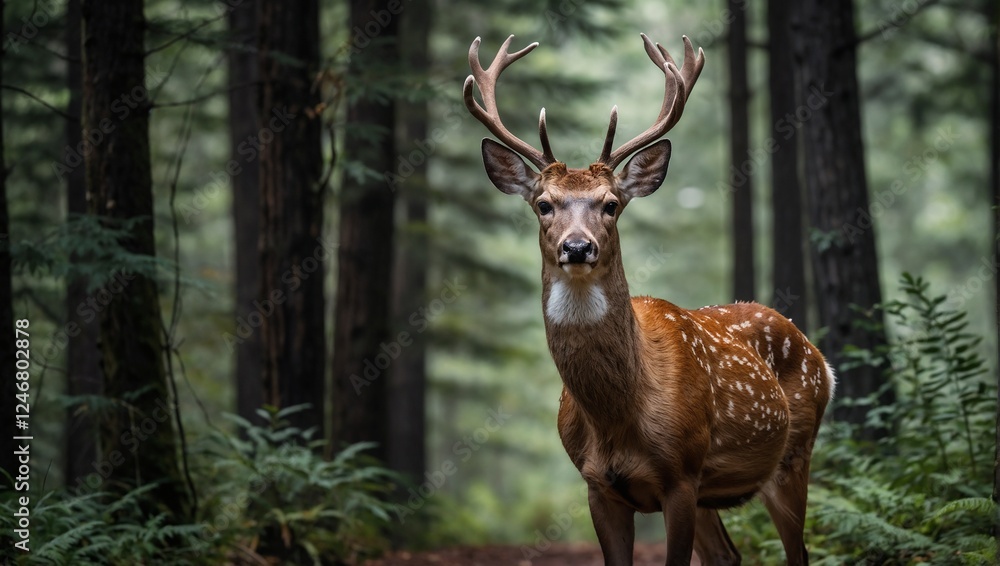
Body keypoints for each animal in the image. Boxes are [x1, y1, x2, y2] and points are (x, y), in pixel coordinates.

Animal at [463, 33, 835, 565]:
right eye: (543, 204)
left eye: (610, 204)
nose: (578, 247)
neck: (617, 417)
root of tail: (819, 355)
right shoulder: (598, 485)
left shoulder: (680, 474)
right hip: (715, 488)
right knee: (728, 556)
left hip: (792, 455)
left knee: (798, 551)